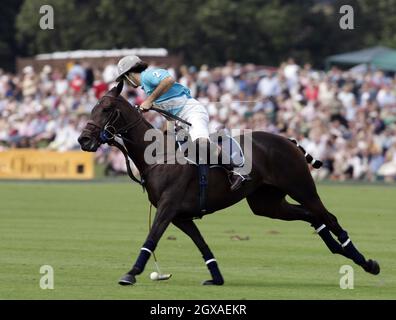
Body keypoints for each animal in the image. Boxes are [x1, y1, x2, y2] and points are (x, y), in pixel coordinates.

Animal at [78, 82, 380, 284]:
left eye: (106, 109)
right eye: (91, 108)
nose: (83, 140)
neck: (159, 156)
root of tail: (288, 139)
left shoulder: (168, 207)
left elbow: (151, 238)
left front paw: (130, 274)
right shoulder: (181, 215)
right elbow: (201, 244)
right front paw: (216, 277)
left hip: (302, 187)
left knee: (329, 216)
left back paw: (364, 261)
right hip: (267, 203)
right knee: (310, 216)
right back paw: (340, 251)